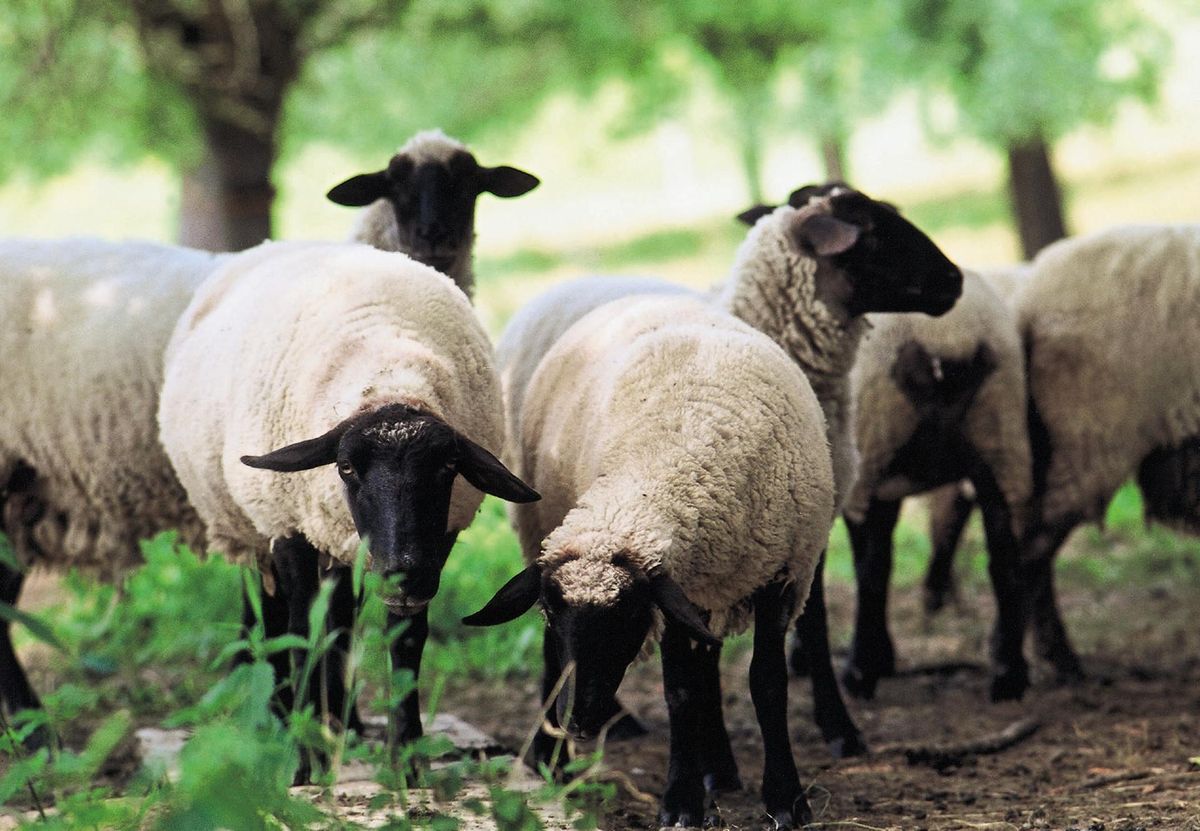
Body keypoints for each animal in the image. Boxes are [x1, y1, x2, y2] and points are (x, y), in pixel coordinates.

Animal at [157, 240, 539, 770]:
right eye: (345, 467)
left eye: (448, 468)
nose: (402, 573)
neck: (389, 373)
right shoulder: (289, 528)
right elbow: (300, 632)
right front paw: (302, 759)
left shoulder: (436, 541)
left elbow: (402, 639)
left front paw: (406, 759)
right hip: (262, 525)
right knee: (272, 613)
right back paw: (279, 718)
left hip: (344, 545)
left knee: (339, 622)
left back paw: (343, 724)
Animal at [465, 293, 836, 829]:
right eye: (551, 610)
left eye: (628, 613)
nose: (578, 722)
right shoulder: (678, 590)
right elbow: (679, 693)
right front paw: (681, 802)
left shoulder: (780, 576)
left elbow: (767, 685)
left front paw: (786, 799)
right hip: (551, 530)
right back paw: (552, 760)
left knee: (709, 666)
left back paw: (718, 768)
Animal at [494, 184, 963, 758]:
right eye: (872, 233)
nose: (955, 280)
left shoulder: (798, 534)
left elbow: (804, 629)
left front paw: (830, 725)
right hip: (542, 517)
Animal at [839, 270, 1032, 702]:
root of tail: (948, 336)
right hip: (1000, 436)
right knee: (1005, 559)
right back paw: (1009, 676)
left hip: (871, 439)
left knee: (869, 569)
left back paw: (859, 672)